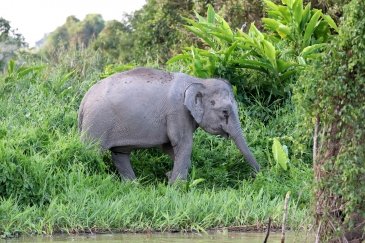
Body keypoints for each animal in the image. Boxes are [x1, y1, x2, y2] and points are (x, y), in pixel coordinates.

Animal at [78, 67, 258, 183]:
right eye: (225, 112)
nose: (258, 175)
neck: (199, 81)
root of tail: (84, 101)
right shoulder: (177, 112)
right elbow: (183, 144)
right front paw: (176, 186)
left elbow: (169, 147)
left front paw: (169, 175)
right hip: (97, 123)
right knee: (91, 151)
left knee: (120, 154)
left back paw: (133, 186)